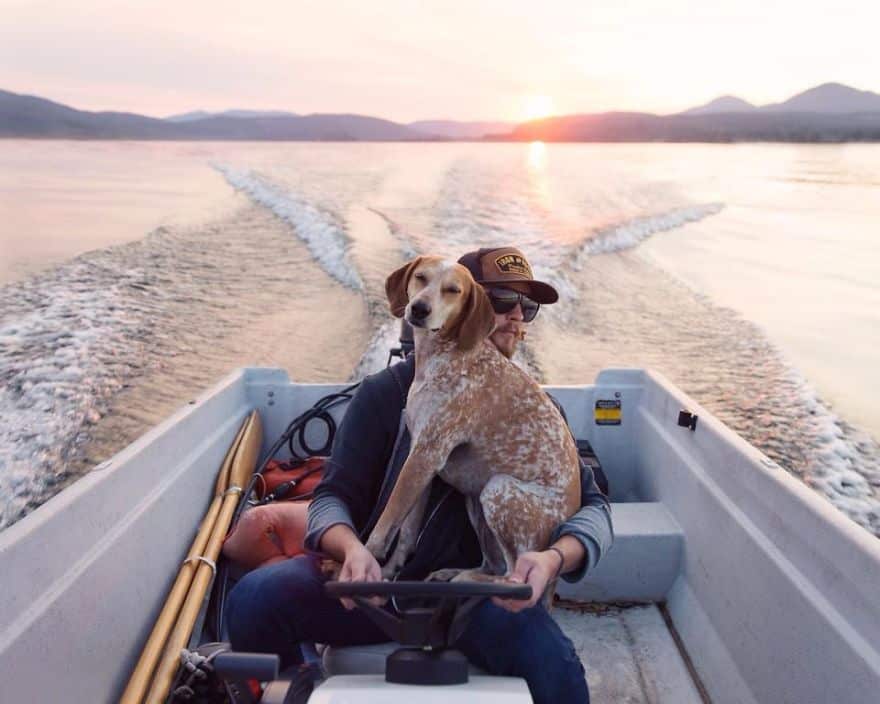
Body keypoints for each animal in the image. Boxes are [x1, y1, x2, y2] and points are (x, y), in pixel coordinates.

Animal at [364, 256, 584, 596]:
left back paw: (465, 581)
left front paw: (361, 567)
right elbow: (406, 532)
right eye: (420, 277)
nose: (419, 308)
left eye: (453, 290)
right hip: (476, 501)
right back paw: (451, 573)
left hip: (497, 490)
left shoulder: (426, 455)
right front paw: (389, 572)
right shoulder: (421, 458)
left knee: (514, 576)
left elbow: (385, 523)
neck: (447, 353)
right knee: (494, 565)